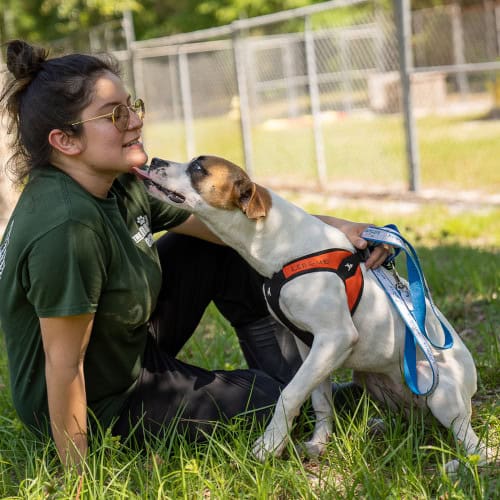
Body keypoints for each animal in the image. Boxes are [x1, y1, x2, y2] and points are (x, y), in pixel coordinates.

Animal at [134, 156, 496, 472]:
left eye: (198, 167)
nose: (154, 160)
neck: (280, 244)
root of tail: (470, 392)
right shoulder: (311, 345)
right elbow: (321, 401)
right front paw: (318, 445)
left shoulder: (334, 339)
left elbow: (290, 393)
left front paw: (270, 445)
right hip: (373, 381)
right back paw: (381, 427)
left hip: (439, 391)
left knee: (475, 445)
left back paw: (460, 465)